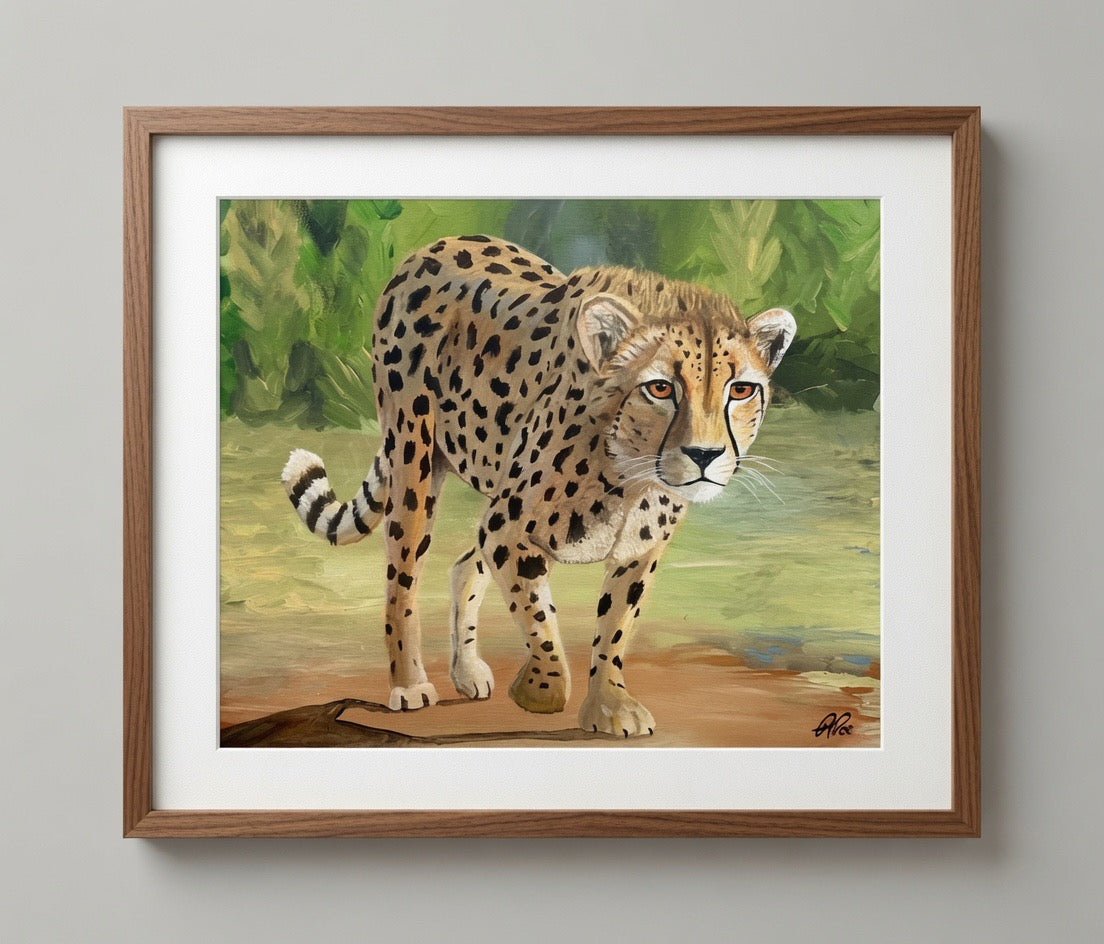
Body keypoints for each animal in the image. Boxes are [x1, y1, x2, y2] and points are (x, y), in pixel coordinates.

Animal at [281, 235, 795, 737]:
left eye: (741, 390)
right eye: (661, 388)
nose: (705, 455)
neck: (631, 476)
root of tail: (430, 248)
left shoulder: (635, 553)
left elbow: (614, 630)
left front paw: (609, 704)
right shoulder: (507, 529)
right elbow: (539, 618)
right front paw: (541, 692)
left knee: (463, 565)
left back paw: (466, 672)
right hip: (414, 463)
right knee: (402, 582)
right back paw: (409, 684)